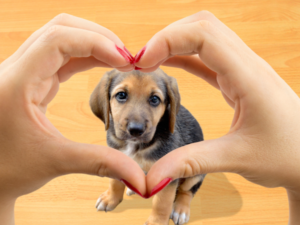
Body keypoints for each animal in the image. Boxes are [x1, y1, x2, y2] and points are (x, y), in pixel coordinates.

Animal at [90, 68, 205, 225]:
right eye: (121, 95)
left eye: (155, 99)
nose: (135, 130)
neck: (135, 145)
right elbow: (114, 183)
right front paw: (111, 199)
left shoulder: (166, 175)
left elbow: (162, 203)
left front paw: (157, 222)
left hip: (195, 173)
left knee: (186, 190)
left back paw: (180, 209)